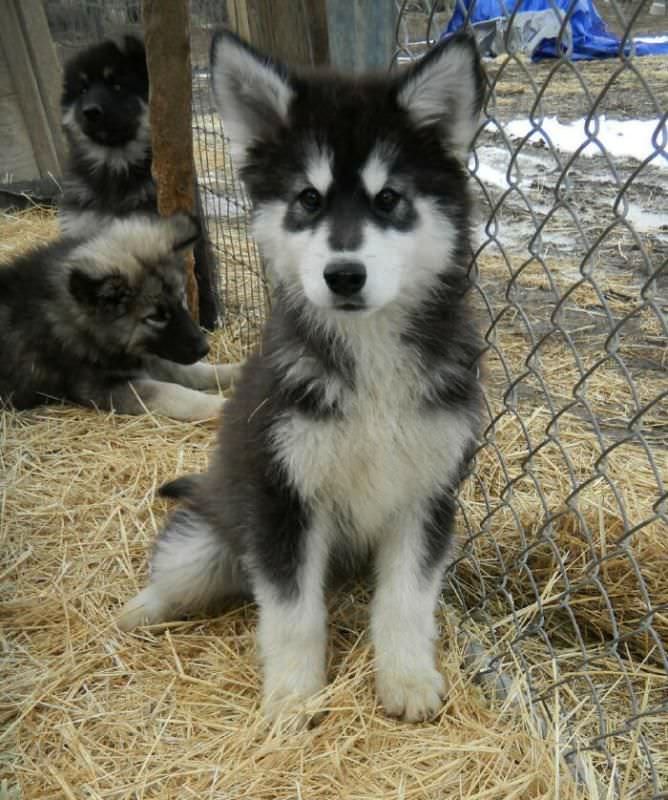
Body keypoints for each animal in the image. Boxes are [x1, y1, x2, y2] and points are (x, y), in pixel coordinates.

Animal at [0, 213, 238, 420]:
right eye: (156, 317)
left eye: (182, 300)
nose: (204, 348)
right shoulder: (104, 384)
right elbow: (172, 392)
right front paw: (221, 406)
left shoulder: (156, 353)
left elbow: (198, 371)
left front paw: (237, 372)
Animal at [119, 30, 484, 724]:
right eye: (308, 200)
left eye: (388, 199)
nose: (344, 275)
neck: (369, 359)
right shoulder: (282, 495)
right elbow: (291, 612)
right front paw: (293, 696)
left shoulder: (426, 495)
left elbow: (406, 600)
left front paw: (406, 678)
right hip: (212, 535)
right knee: (181, 572)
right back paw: (140, 609)